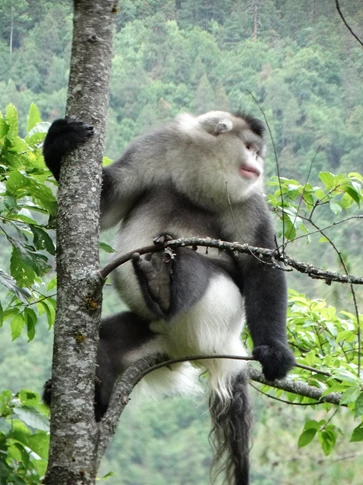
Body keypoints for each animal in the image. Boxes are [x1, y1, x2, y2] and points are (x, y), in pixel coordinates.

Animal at [42, 111, 296, 482]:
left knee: (190, 260)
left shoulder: (248, 202)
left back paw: (161, 281)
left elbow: (259, 265)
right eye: (250, 148)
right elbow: (105, 206)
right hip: (151, 334)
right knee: (106, 340)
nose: (258, 164)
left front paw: (275, 352)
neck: (199, 179)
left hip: (218, 313)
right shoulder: (155, 148)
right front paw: (60, 140)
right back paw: (94, 403)